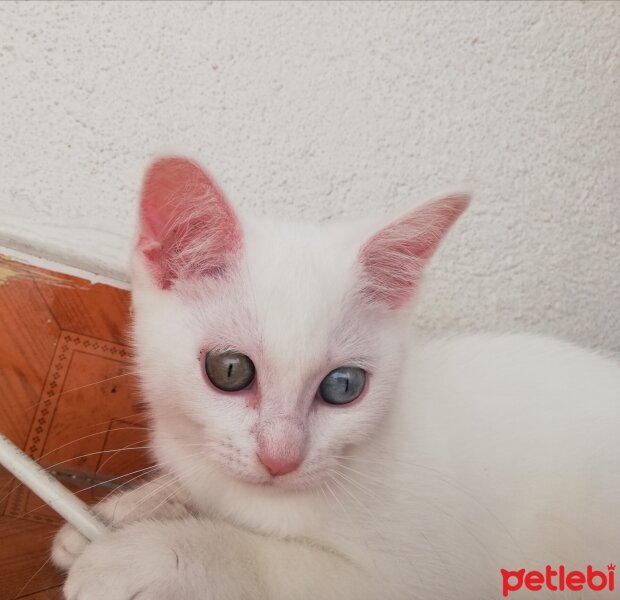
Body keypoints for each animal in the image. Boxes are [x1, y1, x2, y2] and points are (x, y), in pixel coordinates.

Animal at [54, 157, 620, 596]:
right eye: (230, 370)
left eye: (343, 386)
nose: (281, 458)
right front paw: (121, 513)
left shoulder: (416, 576)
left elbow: (269, 564)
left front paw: (142, 555)